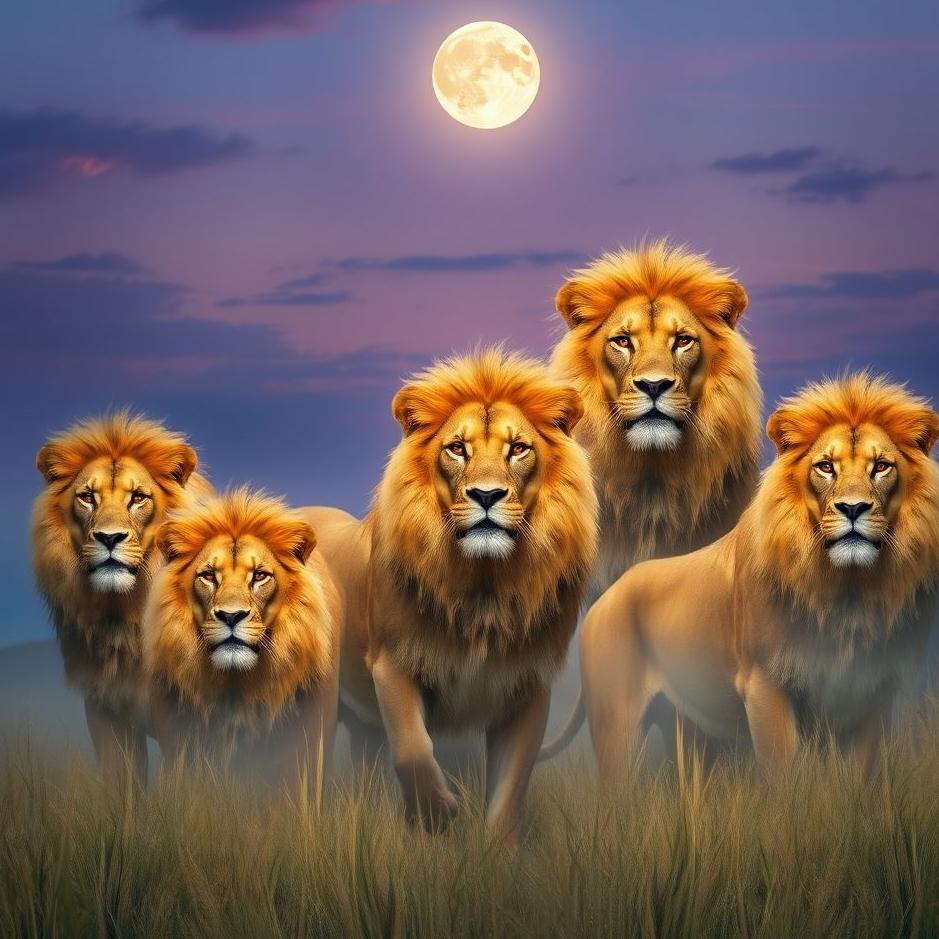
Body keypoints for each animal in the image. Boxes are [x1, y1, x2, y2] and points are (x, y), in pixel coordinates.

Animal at [32, 410, 209, 783]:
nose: (109, 537)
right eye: (87, 496)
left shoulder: (185, 725)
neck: (125, 617)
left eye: (138, 497)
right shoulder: (104, 709)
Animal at [303, 347, 597, 847]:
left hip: (362, 727)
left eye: (518, 448)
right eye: (457, 448)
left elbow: (509, 790)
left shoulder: (527, 686)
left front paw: (495, 854)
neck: (484, 586)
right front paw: (437, 815)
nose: (486, 495)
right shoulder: (392, 664)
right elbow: (413, 749)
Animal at [577, 372, 939, 777]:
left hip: (685, 726)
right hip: (616, 726)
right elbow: (784, 774)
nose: (853, 508)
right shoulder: (764, 682)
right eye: (825, 466)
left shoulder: (874, 691)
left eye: (881, 466)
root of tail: (607, 594)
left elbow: (857, 777)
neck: (848, 592)